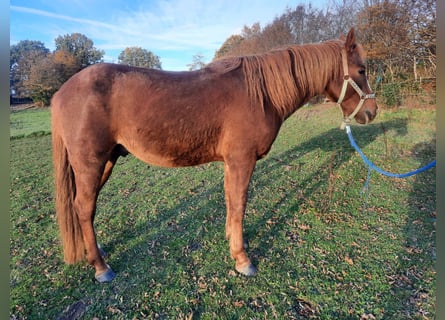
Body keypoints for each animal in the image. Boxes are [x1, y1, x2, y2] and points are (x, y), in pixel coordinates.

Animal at [53, 28, 378, 282]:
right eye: (362, 70)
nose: (372, 112)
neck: (260, 94)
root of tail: (62, 92)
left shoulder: (231, 163)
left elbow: (230, 202)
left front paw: (231, 241)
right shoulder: (242, 161)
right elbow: (240, 204)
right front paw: (243, 259)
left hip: (106, 161)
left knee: (84, 208)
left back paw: (96, 252)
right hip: (91, 163)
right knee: (84, 207)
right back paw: (101, 267)